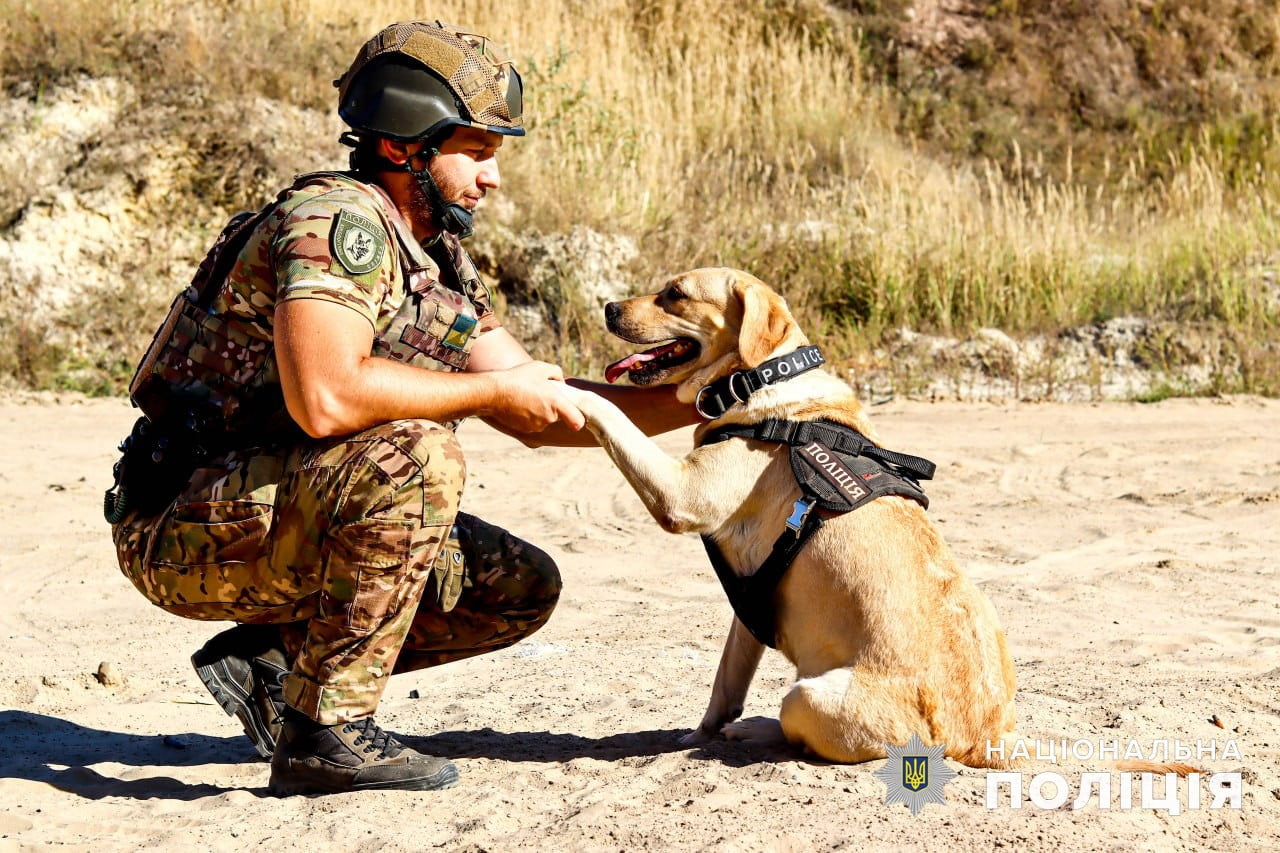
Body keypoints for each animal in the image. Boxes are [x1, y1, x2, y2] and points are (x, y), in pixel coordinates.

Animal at [560, 266, 1018, 763]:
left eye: (675, 294)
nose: (609, 308)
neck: (755, 378)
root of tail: (978, 739)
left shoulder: (680, 495)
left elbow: (611, 411)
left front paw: (563, 388)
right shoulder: (747, 602)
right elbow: (725, 683)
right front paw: (699, 734)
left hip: (805, 696)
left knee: (793, 731)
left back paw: (758, 728)